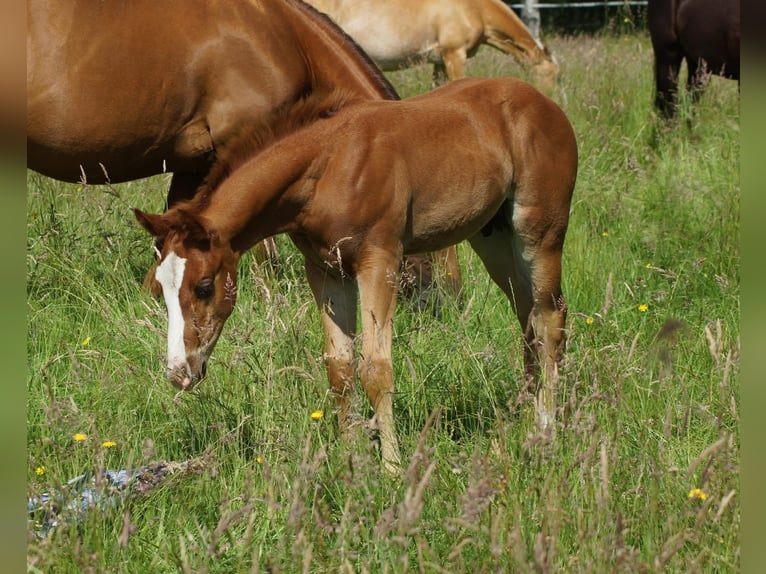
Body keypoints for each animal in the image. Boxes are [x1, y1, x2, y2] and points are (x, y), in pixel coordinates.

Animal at [134, 77, 578, 472]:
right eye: (161, 289)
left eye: (204, 286)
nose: (179, 373)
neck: (328, 167)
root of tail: (545, 103)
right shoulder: (327, 272)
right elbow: (341, 369)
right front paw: (353, 464)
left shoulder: (378, 262)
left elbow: (376, 368)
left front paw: (393, 468)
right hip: (493, 239)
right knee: (527, 318)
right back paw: (524, 413)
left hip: (539, 232)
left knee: (550, 317)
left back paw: (546, 429)